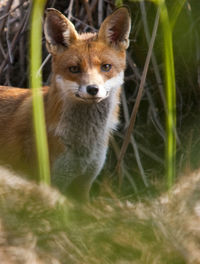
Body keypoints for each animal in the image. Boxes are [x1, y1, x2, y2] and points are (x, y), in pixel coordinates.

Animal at [0, 7, 131, 199]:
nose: (93, 89)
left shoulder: (84, 183)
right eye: (74, 69)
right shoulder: (50, 182)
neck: (83, 146)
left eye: (106, 67)